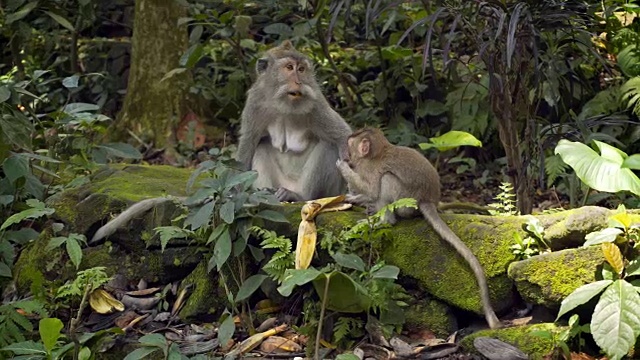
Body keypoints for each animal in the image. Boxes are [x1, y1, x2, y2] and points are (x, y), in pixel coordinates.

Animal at [336, 126, 500, 330]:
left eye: (350, 146)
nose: (346, 155)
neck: (377, 153)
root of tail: (429, 199)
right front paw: (355, 198)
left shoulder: (369, 169)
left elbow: (373, 189)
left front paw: (342, 167)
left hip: (406, 203)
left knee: (387, 179)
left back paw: (384, 220)